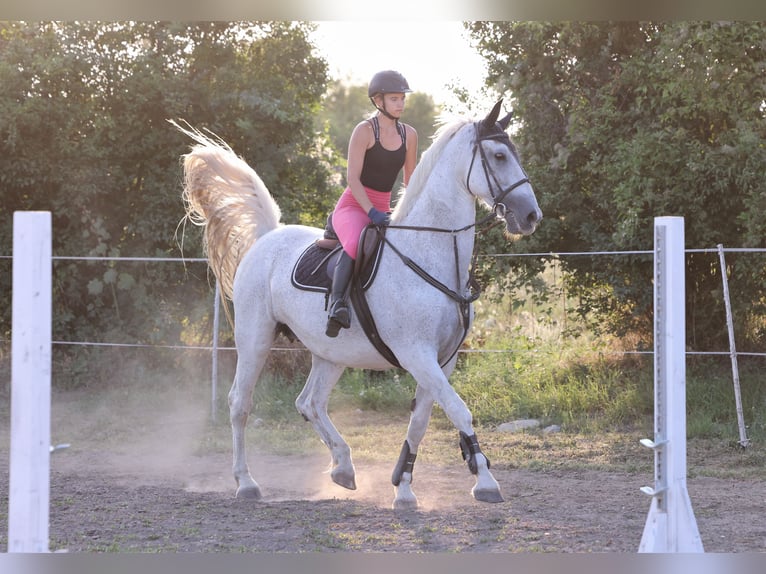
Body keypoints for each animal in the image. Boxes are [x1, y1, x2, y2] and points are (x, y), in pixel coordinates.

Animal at [177, 101, 544, 510]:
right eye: (498, 156)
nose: (531, 216)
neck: (429, 252)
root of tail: (269, 236)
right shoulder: (417, 353)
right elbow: (459, 410)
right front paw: (485, 481)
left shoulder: (442, 359)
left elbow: (420, 423)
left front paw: (404, 488)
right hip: (255, 338)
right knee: (240, 403)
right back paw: (246, 483)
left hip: (330, 352)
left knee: (309, 403)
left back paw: (343, 468)